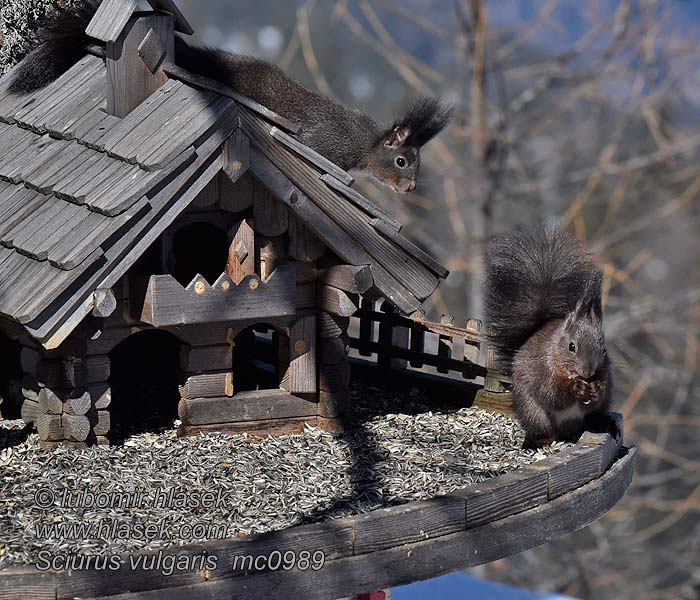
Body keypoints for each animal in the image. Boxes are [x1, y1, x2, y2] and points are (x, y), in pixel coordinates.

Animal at [486, 227, 612, 448]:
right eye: (572, 346)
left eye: (604, 349)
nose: (588, 372)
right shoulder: (542, 371)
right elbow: (552, 395)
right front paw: (576, 388)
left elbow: (595, 399)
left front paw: (596, 388)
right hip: (535, 413)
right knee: (545, 430)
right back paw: (536, 441)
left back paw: (604, 423)